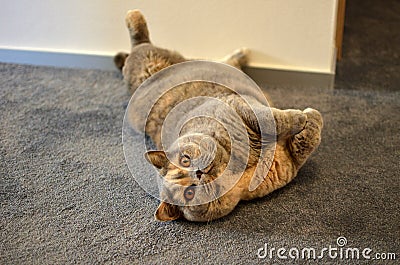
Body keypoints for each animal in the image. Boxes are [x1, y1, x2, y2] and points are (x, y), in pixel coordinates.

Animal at [115, 9, 322, 221]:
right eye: (189, 193)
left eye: (185, 159)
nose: (198, 172)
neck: (243, 164)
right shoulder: (288, 161)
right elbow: (305, 139)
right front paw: (310, 116)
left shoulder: (241, 107)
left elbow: (275, 120)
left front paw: (303, 116)